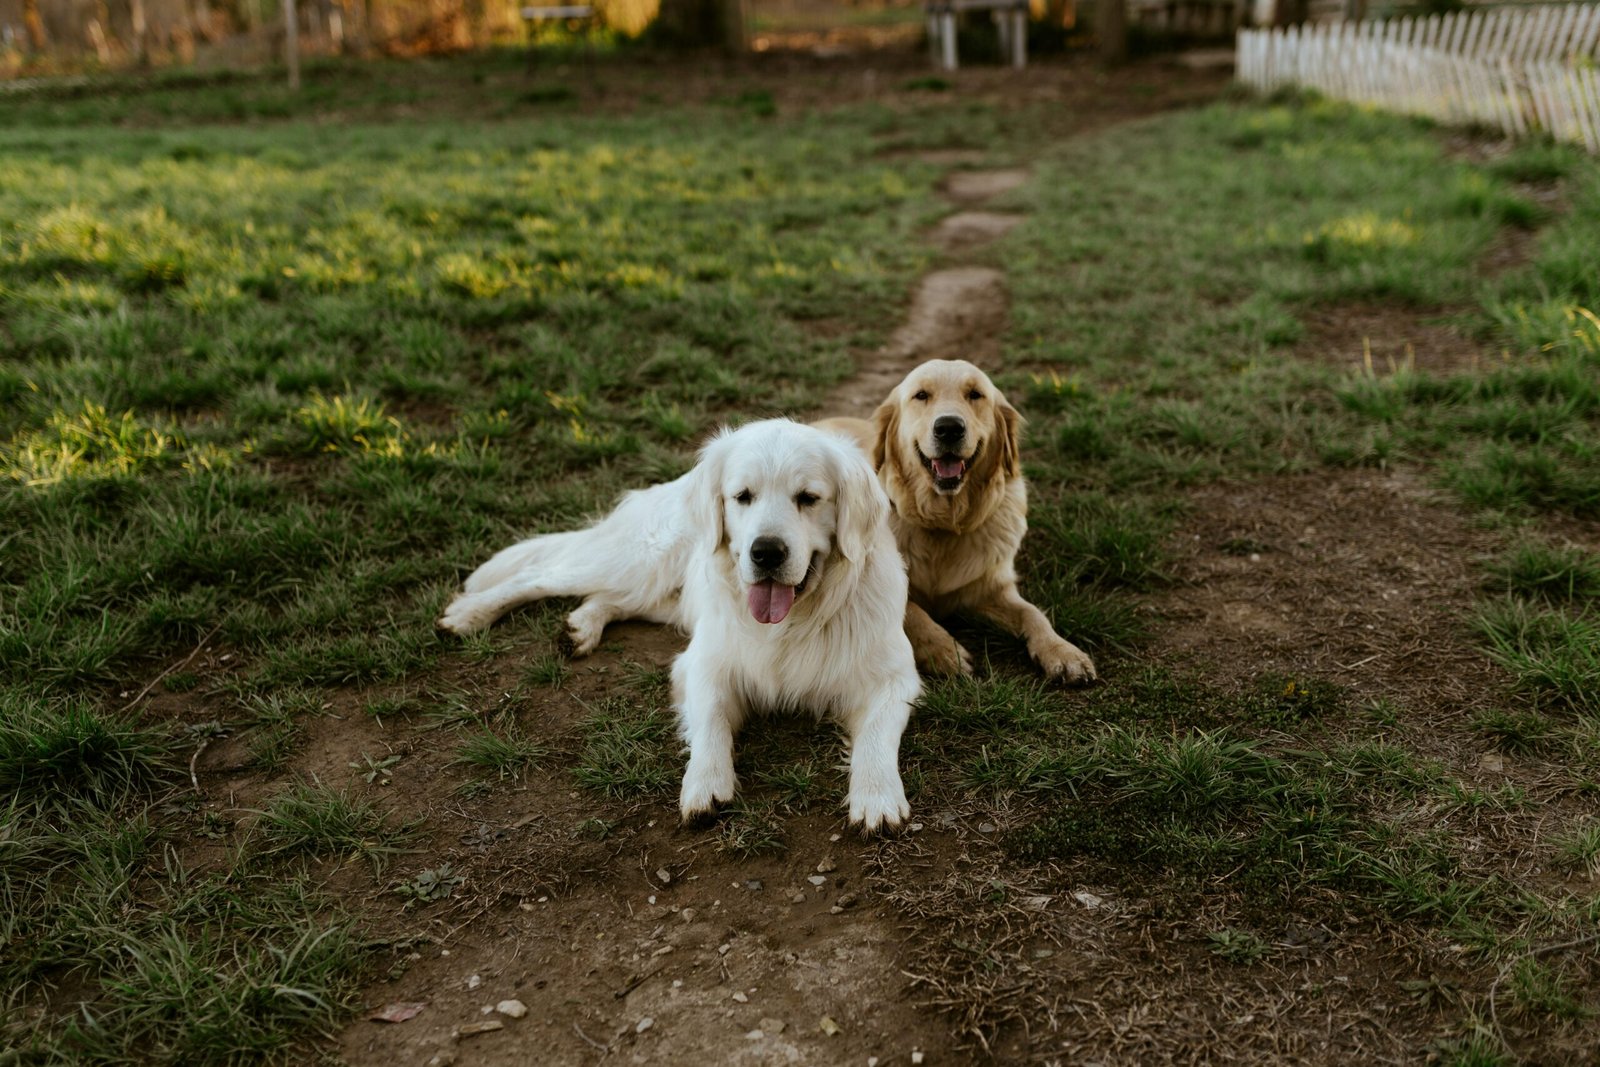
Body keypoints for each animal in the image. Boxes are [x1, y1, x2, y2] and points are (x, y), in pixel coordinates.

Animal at [438, 419, 921, 831]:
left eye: (808, 498)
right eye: (742, 496)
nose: (766, 553)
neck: (792, 622)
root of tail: (677, 481)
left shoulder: (895, 677)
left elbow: (877, 736)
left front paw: (877, 797)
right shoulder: (703, 665)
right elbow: (710, 721)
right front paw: (705, 783)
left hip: (662, 592)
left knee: (610, 599)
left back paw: (580, 625)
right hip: (640, 561)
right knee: (537, 575)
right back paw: (468, 614)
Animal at [819, 361, 1094, 684]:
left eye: (975, 394)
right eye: (921, 395)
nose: (949, 428)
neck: (944, 523)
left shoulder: (990, 588)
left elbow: (1033, 614)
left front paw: (1062, 652)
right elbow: (911, 610)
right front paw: (943, 650)